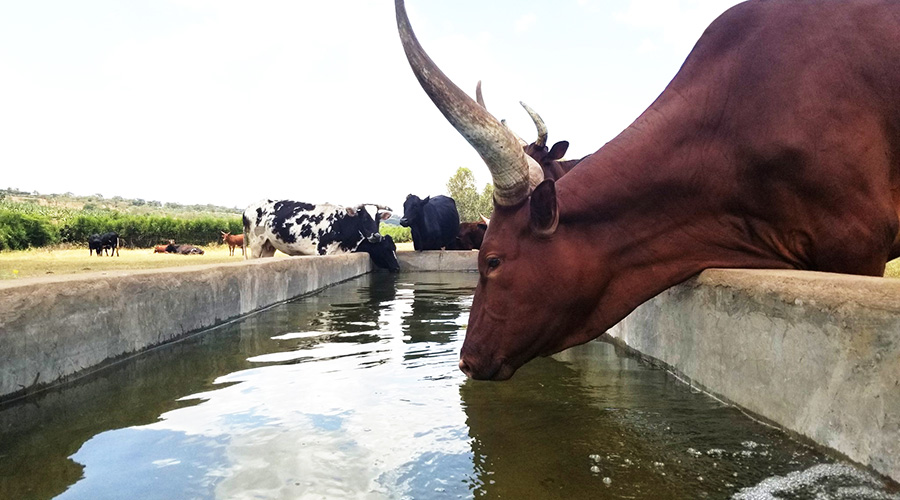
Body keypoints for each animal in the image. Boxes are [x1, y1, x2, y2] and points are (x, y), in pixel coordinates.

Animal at [243, 198, 390, 258]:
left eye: (378, 219)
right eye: (364, 218)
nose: (376, 236)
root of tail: (248, 208)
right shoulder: (322, 250)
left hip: (269, 245)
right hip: (256, 243)